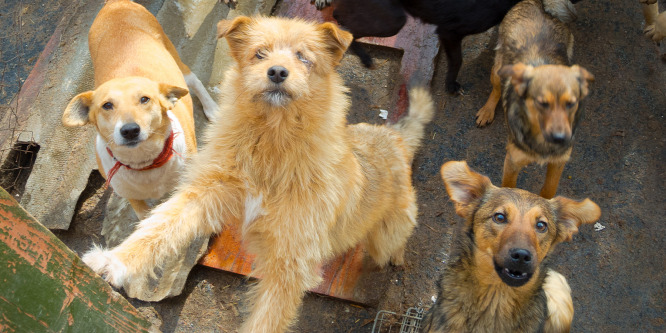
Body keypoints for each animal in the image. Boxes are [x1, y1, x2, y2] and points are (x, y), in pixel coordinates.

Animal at [63, 0, 218, 218]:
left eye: (145, 99)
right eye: (107, 105)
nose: (129, 130)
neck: (146, 164)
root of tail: (115, 4)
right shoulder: (134, 200)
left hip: (173, 55)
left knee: (193, 80)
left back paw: (211, 108)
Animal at [81, 14, 436, 330]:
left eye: (303, 57)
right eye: (259, 53)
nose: (277, 72)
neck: (272, 144)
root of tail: (393, 138)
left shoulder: (289, 265)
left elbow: (267, 320)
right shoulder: (206, 192)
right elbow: (158, 227)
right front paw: (114, 261)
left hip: (386, 236)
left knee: (390, 246)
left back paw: (394, 258)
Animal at [472, 0, 592, 198]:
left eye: (570, 104)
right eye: (542, 103)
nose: (560, 138)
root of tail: (537, 2)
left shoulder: (558, 162)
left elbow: (549, 191)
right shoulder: (512, 161)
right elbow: (510, 190)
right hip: (498, 69)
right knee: (496, 89)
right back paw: (487, 111)